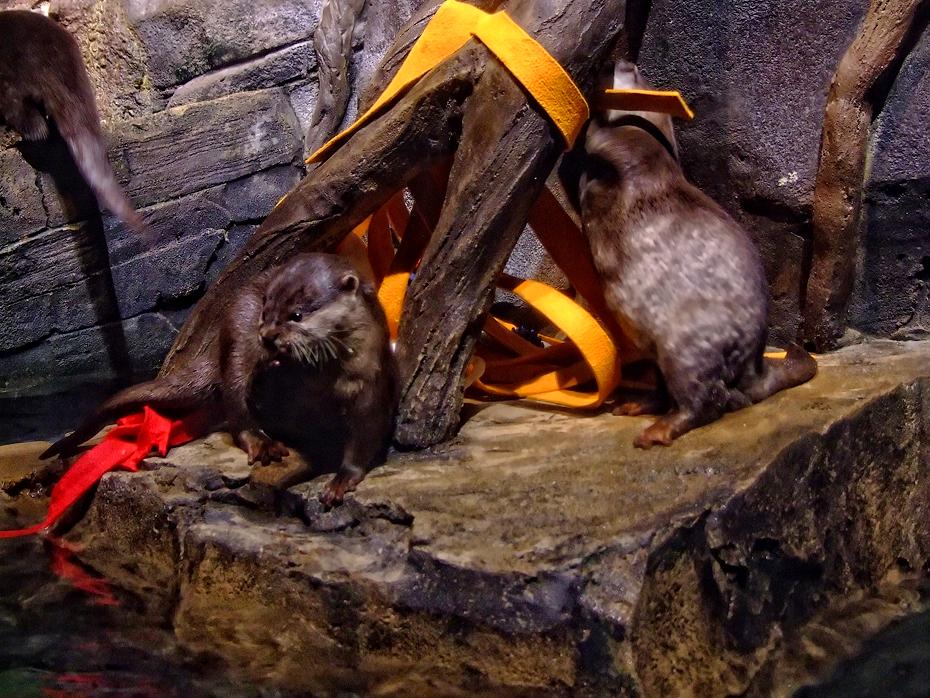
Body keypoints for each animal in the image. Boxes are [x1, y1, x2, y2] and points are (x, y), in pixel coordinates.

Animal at [42, 253, 397, 505]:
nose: (267, 336)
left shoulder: (371, 380)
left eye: (297, 314)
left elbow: (366, 432)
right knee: (236, 403)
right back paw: (262, 441)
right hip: (238, 328)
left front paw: (342, 480)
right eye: (266, 310)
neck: (324, 382)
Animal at [573, 61, 816, 448]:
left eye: (635, 74)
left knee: (707, 399)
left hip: (685, 349)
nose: (619, 61)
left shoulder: (632, 150)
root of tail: (756, 370)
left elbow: (601, 140)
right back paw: (634, 405)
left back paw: (657, 431)